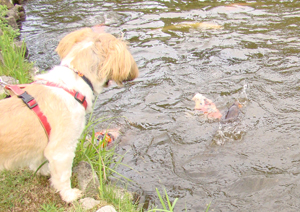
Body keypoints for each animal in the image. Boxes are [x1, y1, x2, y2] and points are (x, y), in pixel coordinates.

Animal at [0, 27, 138, 203]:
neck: (74, 82)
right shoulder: (62, 149)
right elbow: (64, 176)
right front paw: (70, 195)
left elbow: (40, 163)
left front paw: (45, 172)